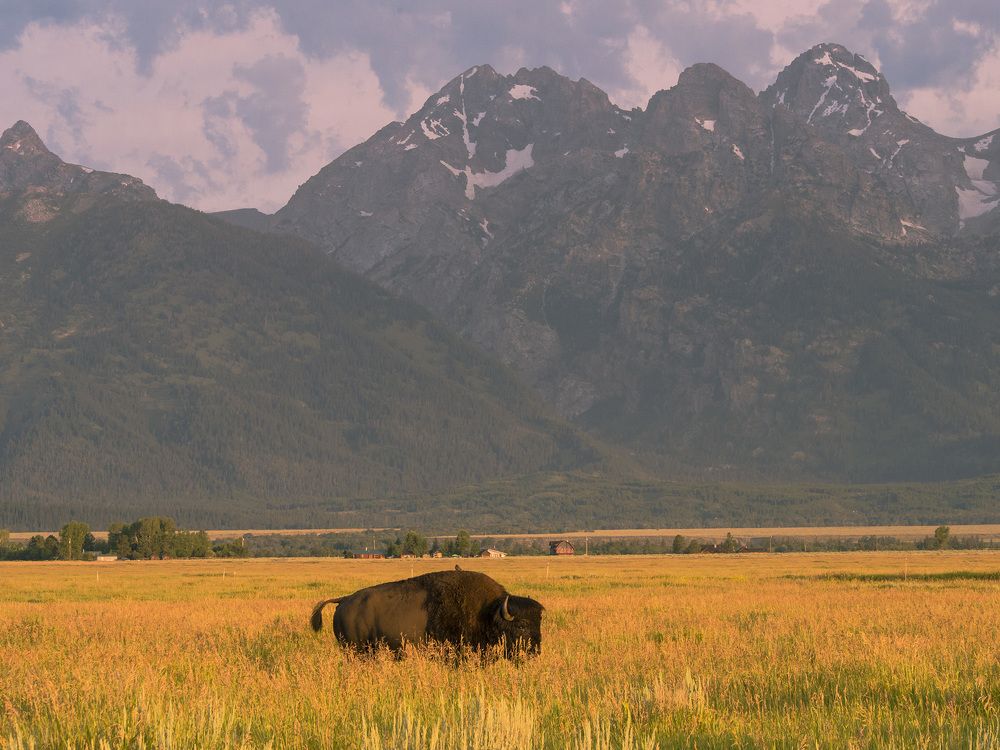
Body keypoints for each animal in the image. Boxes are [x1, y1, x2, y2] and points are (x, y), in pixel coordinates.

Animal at [310, 569, 543, 656]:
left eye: (539, 622)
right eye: (522, 625)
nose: (535, 650)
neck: (489, 611)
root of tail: (344, 600)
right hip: (356, 650)